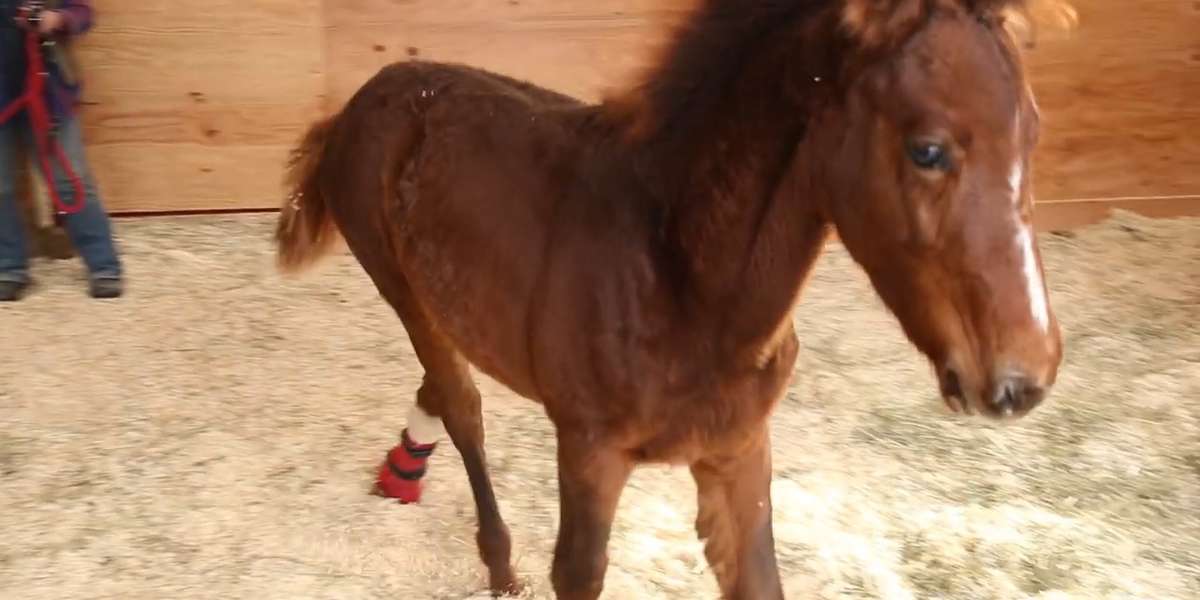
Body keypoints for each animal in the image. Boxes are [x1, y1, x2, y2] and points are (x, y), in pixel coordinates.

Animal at [276, 2, 1065, 597]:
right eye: (927, 149)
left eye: (1034, 133)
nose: (1023, 379)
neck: (686, 280)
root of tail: (363, 97)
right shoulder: (590, 455)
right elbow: (578, 574)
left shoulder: (738, 451)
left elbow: (756, 577)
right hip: (399, 285)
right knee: (461, 401)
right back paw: (497, 563)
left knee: (440, 389)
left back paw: (404, 469)